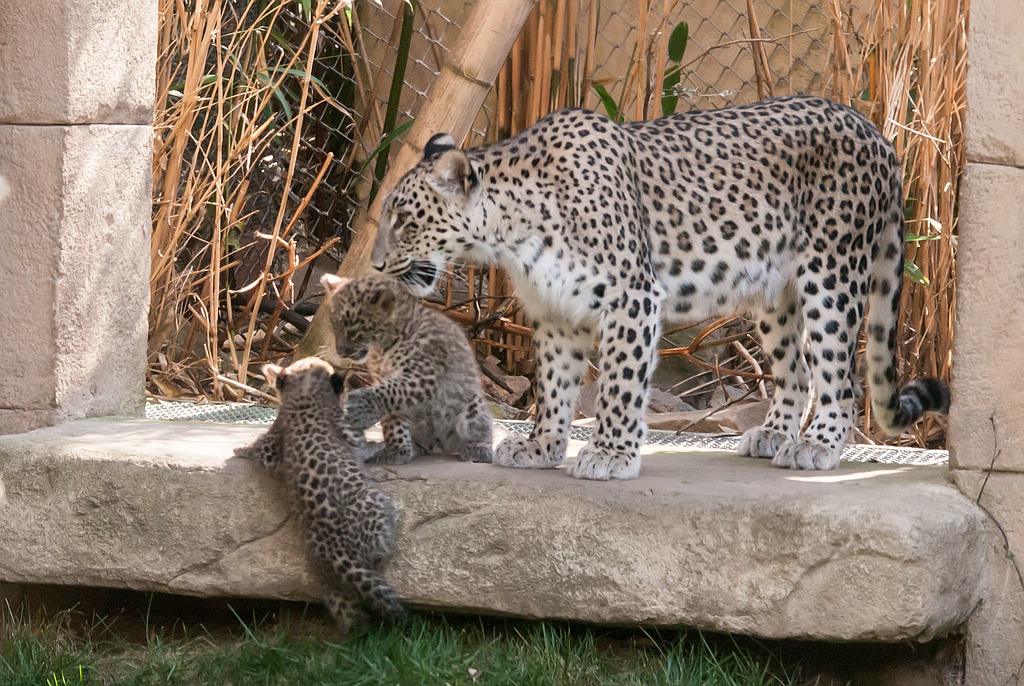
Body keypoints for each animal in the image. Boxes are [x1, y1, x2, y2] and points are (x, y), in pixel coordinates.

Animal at [233, 356, 403, 636]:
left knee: (350, 614)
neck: (304, 393)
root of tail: (338, 553)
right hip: (375, 504)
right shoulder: (350, 434)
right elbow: (363, 447)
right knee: (380, 550)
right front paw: (380, 447)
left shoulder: (271, 445)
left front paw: (240, 450)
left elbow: (260, 450)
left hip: (330, 585)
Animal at [321, 273, 494, 465]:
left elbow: (393, 390)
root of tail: (438, 445)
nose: (341, 352)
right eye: (334, 328)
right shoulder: (384, 379)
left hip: (473, 404)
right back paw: (414, 448)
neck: (381, 349)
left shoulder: (424, 377)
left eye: (354, 332)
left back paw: (478, 449)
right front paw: (397, 451)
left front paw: (361, 407)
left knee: (482, 430)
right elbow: (393, 418)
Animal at [368, 95, 950, 480]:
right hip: (774, 292)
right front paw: (543, 446)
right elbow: (554, 387)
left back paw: (820, 445)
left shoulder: (631, 298)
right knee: (797, 371)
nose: (374, 265)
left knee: (839, 376)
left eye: (403, 220)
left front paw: (610, 453)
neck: (510, 234)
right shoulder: (557, 315)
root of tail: (877, 133)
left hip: (831, 273)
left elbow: (619, 384)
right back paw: (774, 436)